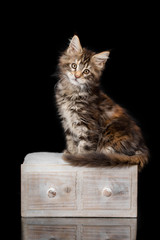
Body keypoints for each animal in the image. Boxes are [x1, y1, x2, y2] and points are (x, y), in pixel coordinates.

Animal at [55, 35, 149, 171]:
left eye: (86, 72)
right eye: (73, 66)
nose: (76, 76)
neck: (72, 91)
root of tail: (142, 147)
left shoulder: (88, 126)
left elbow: (84, 146)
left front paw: (78, 158)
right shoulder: (67, 121)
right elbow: (71, 140)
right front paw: (71, 152)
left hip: (111, 135)